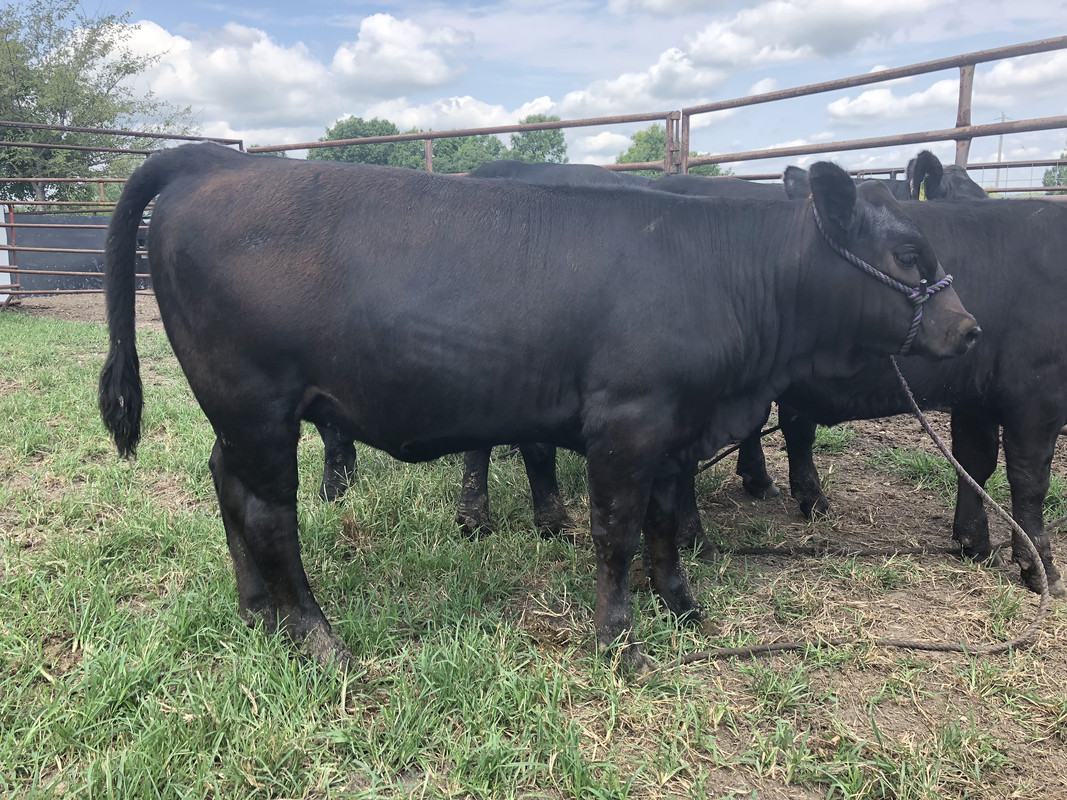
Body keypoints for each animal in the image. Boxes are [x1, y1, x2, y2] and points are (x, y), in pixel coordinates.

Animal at [99, 143, 978, 671]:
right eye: (907, 253)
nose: (967, 327)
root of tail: (210, 163)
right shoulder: (625, 422)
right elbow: (615, 532)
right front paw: (619, 642)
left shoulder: (674, 430)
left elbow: (663, 527)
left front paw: (683, 609)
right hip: (256, 401)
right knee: (269, 515)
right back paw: (317, 639)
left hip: (241, 414)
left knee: (226, 485)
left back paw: (254, 610)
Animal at [731, 185, 1067, 597]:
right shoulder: (1039, 395)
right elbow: (1030, 481)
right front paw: (1040, 568)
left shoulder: (976, 397)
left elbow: (975, 464)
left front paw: (975, 544)